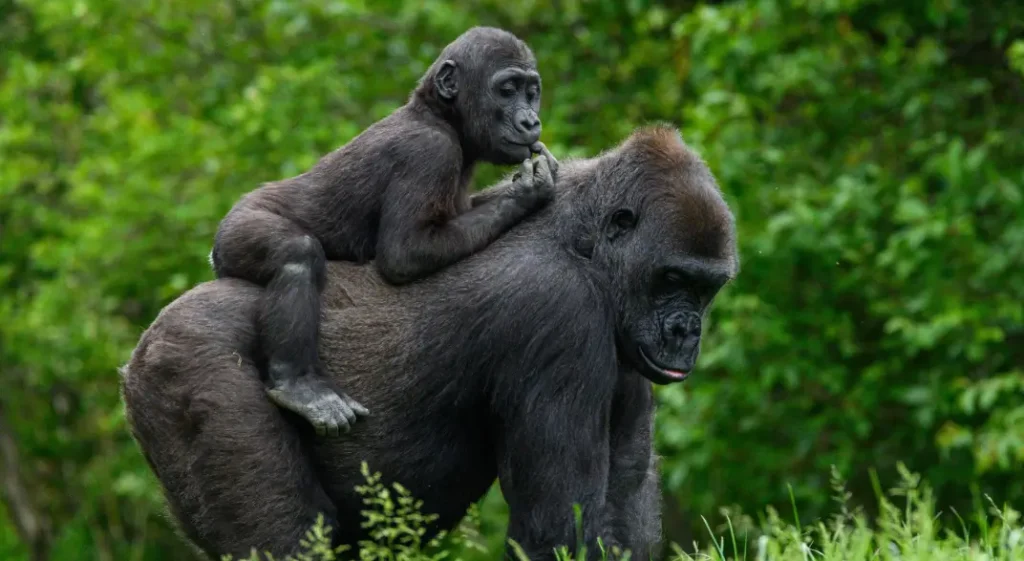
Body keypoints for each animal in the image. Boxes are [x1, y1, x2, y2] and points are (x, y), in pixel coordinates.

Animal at [209, 27, 557, 436]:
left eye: (531, 91)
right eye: (507, 90)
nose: (530, 121)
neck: (438, 115)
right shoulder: (427, 153)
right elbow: (405, 253)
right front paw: (530, 190)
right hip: (238, 227)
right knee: (297, 254)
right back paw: (299, 386)